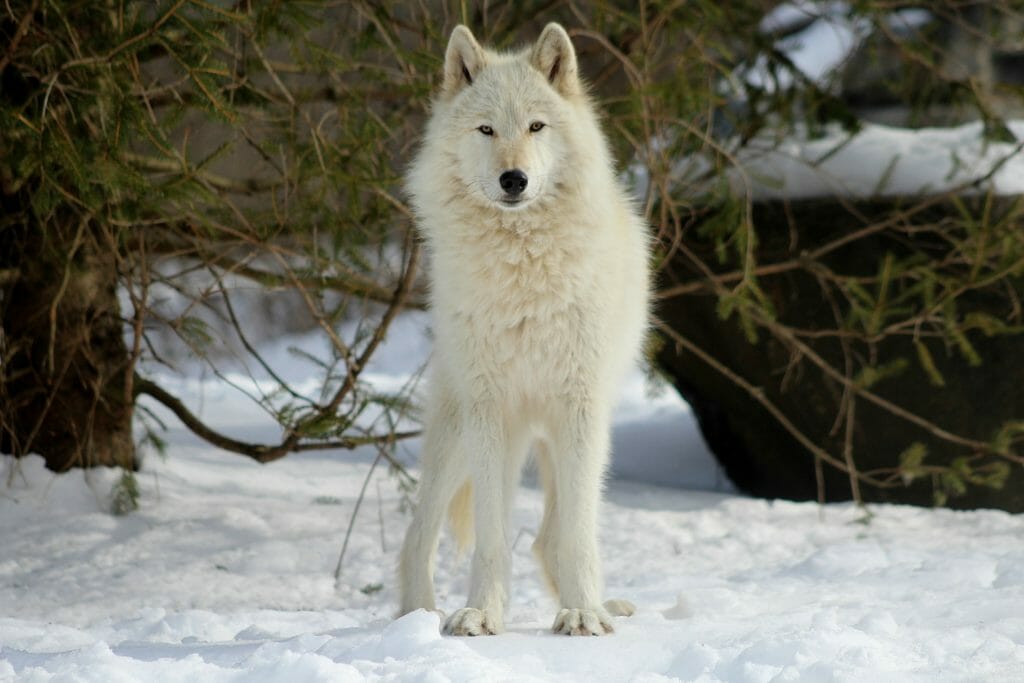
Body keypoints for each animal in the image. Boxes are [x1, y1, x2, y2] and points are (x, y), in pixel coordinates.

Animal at [397, 22, 647, 643]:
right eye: (487, 129)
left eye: (536, 126)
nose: (514, 179)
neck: (523, 273)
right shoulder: (492, 413)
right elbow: (490, 535)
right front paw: (482, 614)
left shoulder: (579, 408)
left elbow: (578, 534)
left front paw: (584, 614)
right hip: (460, 432)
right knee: (418, 533)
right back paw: (417, 617)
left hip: (569, 433)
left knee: (552, 534)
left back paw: (602, 603)